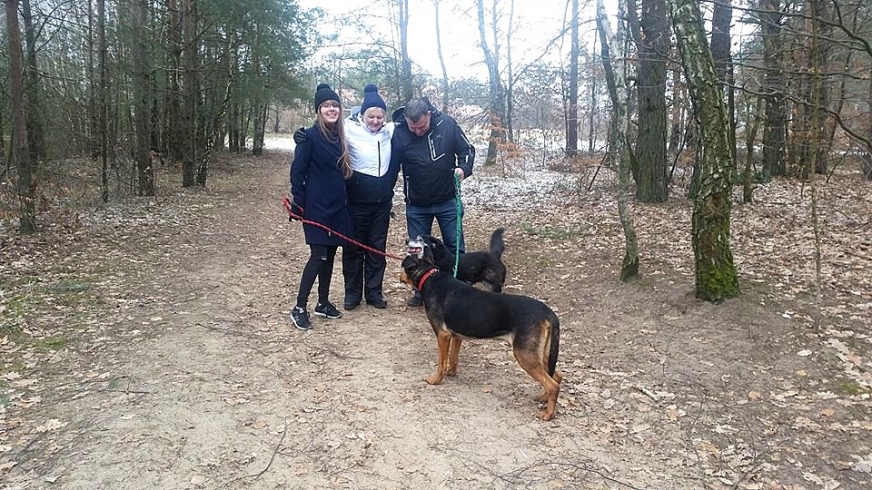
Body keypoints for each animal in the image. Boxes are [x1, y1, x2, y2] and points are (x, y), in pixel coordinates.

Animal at [404, 237, 564, 422]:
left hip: (525, 355)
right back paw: (543, 398)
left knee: (553, 385)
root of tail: (548, 312)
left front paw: (436, 379)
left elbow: (441, 362)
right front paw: (451, 373)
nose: (407, 240)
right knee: (556, 377)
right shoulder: (456, 335)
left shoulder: (442, 335)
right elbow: (453, 358)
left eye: (419, 240)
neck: (430, 276)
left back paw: (548, 414)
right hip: (542, 354)